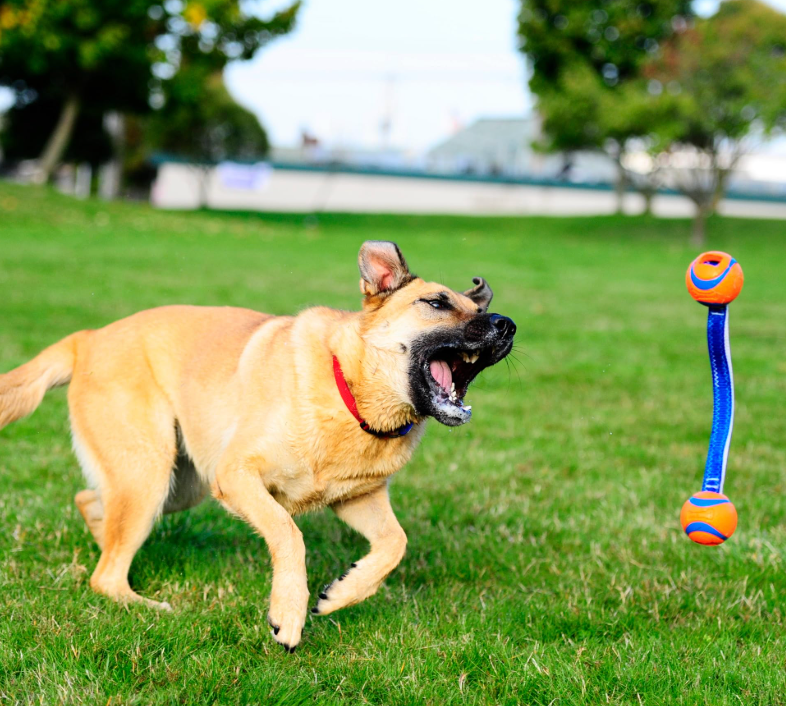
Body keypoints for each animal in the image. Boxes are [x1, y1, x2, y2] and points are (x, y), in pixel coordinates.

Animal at [0, 241, 516, 648]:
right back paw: (141, 602)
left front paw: (340, 595)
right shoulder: (236, 477)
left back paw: (106, 543)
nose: (506, 324)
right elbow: (289, 533)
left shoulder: (357, 498)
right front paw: (288, 614)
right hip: (153, 474)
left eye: (477, 309)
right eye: (437, 303)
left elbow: (395, 544)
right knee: (104, 574)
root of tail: (88, 338)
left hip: (177, 485)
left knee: (91, 502)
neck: (349, 393)